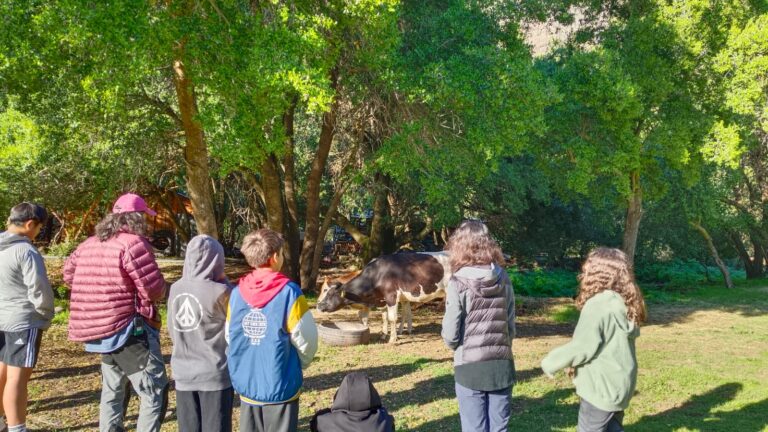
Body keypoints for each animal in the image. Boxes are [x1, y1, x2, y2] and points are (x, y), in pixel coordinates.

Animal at [316, 251, 450, 342]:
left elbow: (391, 318)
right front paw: (384, 335)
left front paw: (392, 339)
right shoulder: (382, 299)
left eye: (329, 293)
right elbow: (384, 317)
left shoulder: (391, 295)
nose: (318, 305)